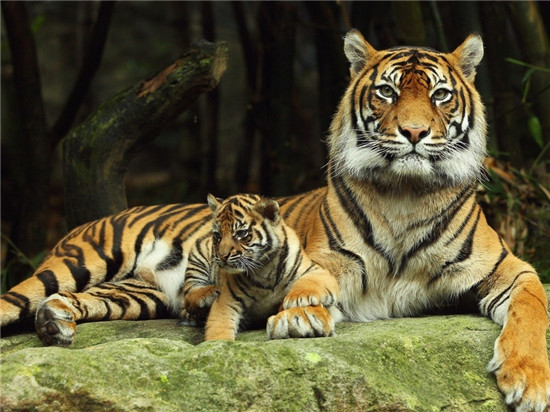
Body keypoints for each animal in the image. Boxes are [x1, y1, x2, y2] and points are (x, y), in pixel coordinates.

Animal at [1, 29, 550, 408]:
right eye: (387, 93)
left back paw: (57, 323)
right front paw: (302, 314)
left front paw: (528, 382)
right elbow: (314, 285)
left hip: (135, 294)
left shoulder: (510, 268)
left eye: (439, 95)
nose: (414, 133)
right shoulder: (331, 261)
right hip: (76, 261)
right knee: (23, 297)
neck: (406, 194)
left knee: (81, 301)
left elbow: (531, 312)